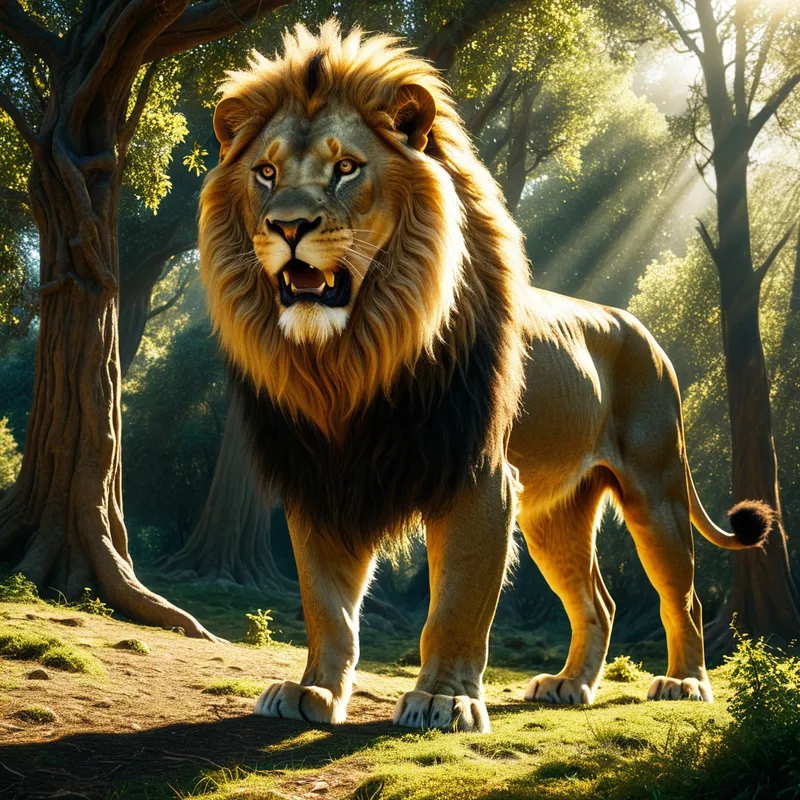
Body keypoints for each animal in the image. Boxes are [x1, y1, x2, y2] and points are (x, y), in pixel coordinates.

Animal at [198, 21, 772, 733]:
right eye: (266, 173)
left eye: (347, 168)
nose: (288, 225)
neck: (352, 357)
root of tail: (640, 329)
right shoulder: (322, 479)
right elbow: (326, 606)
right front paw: (313, 693)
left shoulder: (480, 476)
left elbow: (458, 602)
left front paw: (444, 700)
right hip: (556, 512)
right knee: (599, 602)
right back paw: (569, 685)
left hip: (657, 489)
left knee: (682, 597)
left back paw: (685, 684)